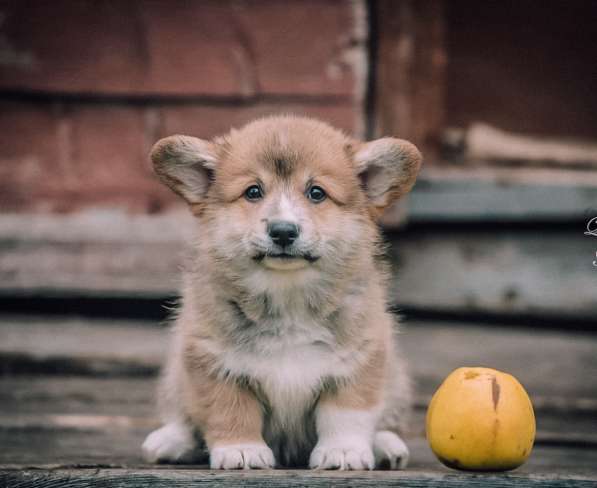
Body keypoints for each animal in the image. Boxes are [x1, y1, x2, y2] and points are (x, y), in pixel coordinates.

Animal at [141, 116, 420, 470]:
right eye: (253, 192)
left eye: (316, 193)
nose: (283, 231)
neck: (288, 296)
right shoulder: (213, 361)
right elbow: (229, 410)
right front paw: (240, 450)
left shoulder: (358, 361)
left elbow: (346, 414)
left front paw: (343, 452)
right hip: (176, 378)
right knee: (183, 416)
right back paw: (171, 440)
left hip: (395, 379)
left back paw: (386, 445)